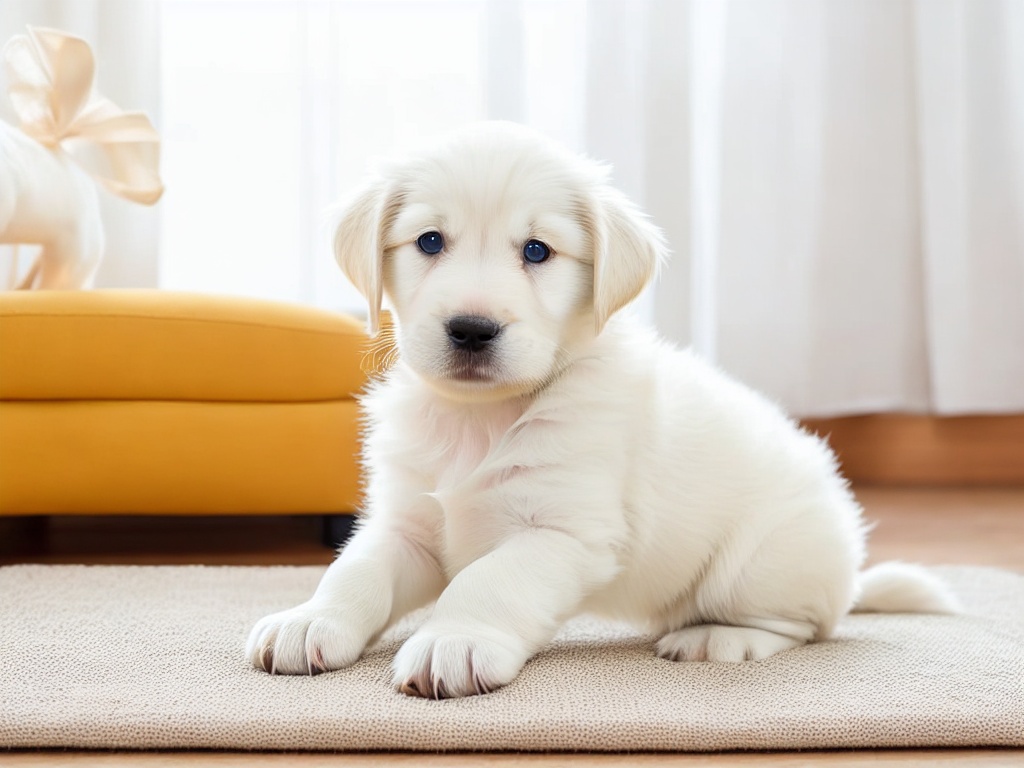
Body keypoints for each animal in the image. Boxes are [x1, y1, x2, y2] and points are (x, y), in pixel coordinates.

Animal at [249, 123, 958, 700]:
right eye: (429, 241)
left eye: (537, 251)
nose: (472, 329)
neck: (480, 419)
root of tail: (849, 574)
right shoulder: (407, 523)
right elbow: (354, 571)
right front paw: (309, 620)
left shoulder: (566, 533)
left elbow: (490, 580)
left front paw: (457, 638)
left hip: (756, 562)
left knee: (803, 624)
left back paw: (719, 638)